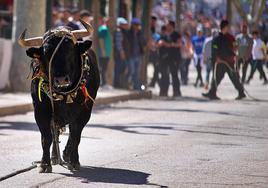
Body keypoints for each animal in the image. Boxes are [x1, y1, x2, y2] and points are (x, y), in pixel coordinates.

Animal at [18, 24, 99, 173]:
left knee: (71, 134)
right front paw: (44, 164)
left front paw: (74, 161)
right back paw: (55, 157)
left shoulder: (84, 112)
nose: (61, 79)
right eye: (46, 52)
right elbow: (46, 137)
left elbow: (75, 136)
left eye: (70, 50)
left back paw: (66, 155)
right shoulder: (41, 111)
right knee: (55, 133)